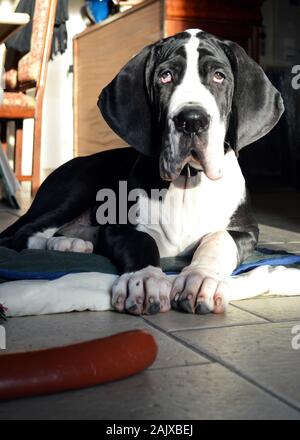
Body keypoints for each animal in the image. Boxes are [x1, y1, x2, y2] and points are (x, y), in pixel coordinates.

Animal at [0, 29, 284, 314]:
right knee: (21, 235)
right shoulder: (118, 227)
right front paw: (145, 279)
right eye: (165, 76)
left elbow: (219, 239)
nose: (192, 120)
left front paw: (201, 277)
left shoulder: (247, 231)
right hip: (76, 189)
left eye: (219, 76)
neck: (186, 181)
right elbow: (143, 242)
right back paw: (66, 244)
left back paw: (71, 243)